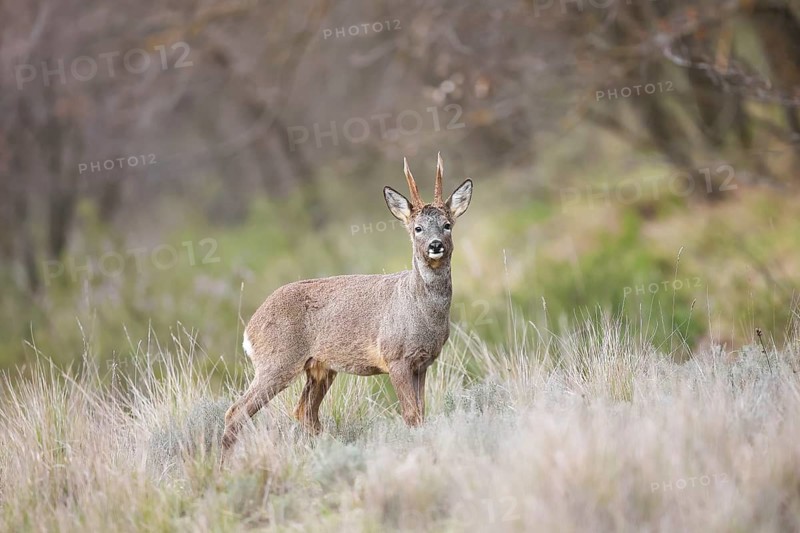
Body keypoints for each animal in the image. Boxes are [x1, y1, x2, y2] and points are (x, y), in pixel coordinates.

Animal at [220, 153, 473, 463]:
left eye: (447, 224)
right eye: (418, 229)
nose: (435, 245)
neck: (419, 309)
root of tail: (250, 329)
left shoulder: (422, 363)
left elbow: (421, 414)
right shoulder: (396, 356)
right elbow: (411, 415)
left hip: (319, 368)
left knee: (305, 412)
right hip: (276, 362)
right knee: (236, 412)